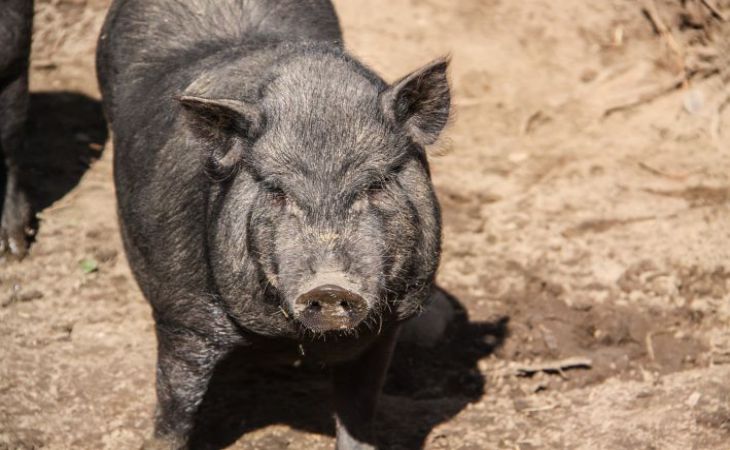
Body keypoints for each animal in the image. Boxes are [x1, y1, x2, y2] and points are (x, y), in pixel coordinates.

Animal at [96, 1, 450, 448]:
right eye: (277, 190)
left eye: (375, 185)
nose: (330, 286)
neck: (294, 342)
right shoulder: (182, 317)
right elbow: (174, 409)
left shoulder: (387, 326)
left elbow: (358, 411)